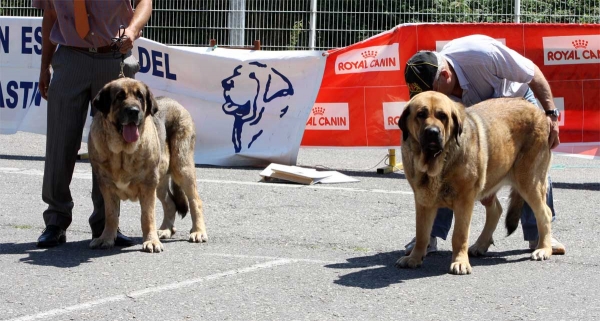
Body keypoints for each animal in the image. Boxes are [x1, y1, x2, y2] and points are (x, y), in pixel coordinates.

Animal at [396, 91, 556, 274]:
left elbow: (459, 235)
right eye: (421, 114)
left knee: (544, 213)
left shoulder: (464, 200)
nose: (432, 132)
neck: (437, 161)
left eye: (442, 116)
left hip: (529, 182)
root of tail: (538, 111)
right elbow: (422, 233)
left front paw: (459, 262)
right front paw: (414, 258)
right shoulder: (423, 201)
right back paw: (480, 245)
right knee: (496, 210)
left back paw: (544, 249)